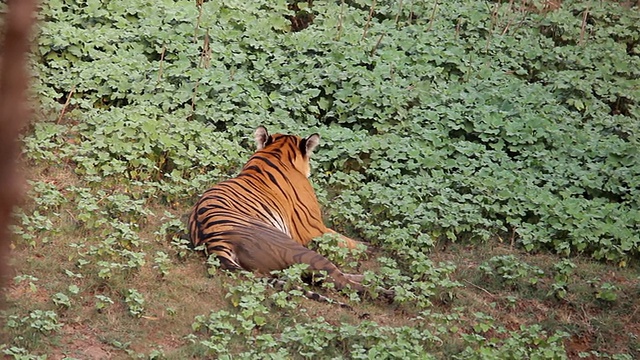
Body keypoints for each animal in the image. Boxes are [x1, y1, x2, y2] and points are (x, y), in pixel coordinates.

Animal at [186, 125, 390, 302]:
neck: (276, 152)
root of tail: (213, 242)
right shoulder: (313, 228)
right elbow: (344, 240)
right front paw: (369, 248)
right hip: (296, 249)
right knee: (339, 281)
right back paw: (386, 292)